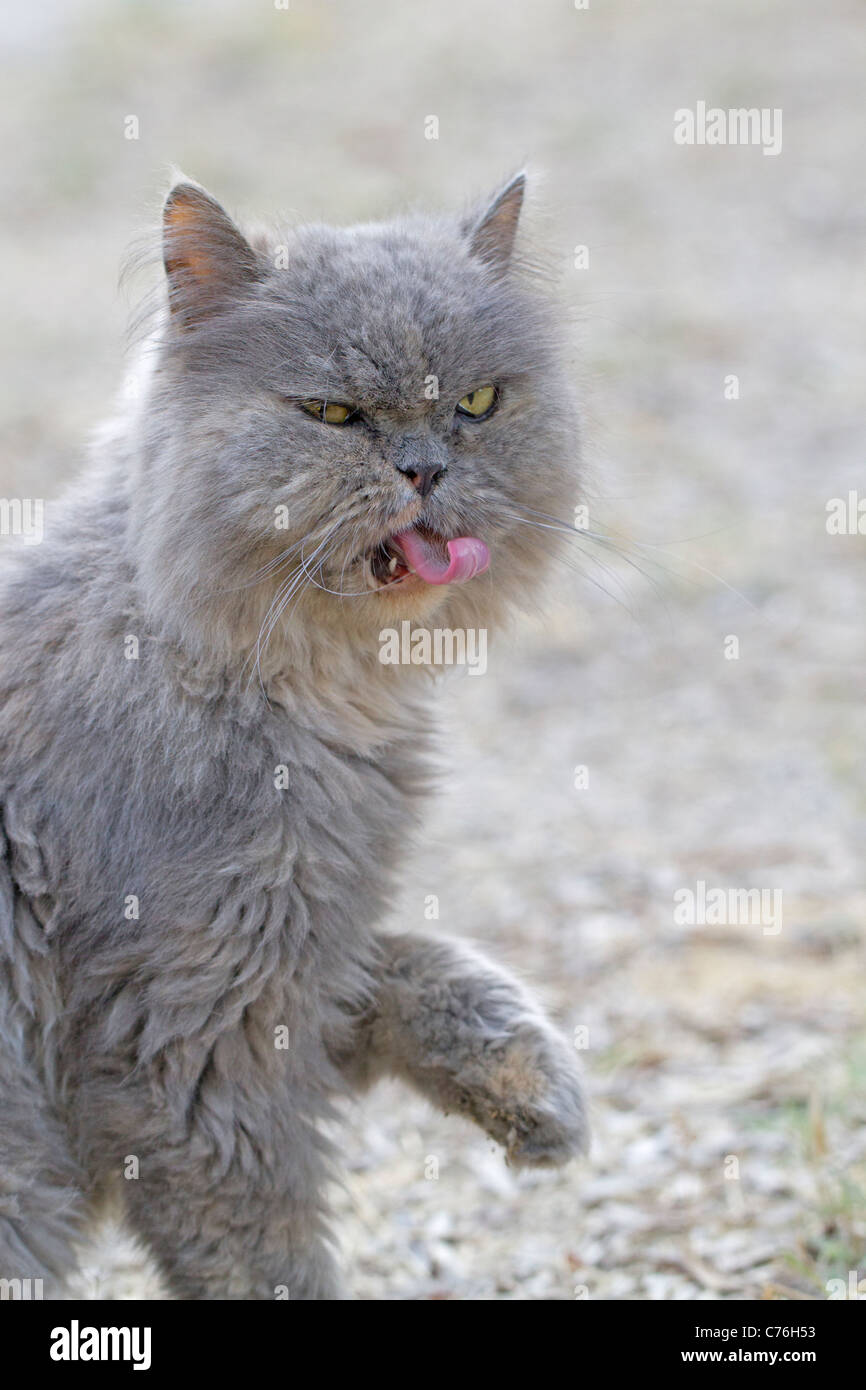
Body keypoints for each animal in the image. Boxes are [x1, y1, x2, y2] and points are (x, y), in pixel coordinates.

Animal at [0, 176, 589, 1301]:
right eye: (333, 415)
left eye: (477, 404)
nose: (423, 468)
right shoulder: (190, 1041)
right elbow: (264, 1253)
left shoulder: (295, 964)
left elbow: (409, 961)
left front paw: (530, 1086)